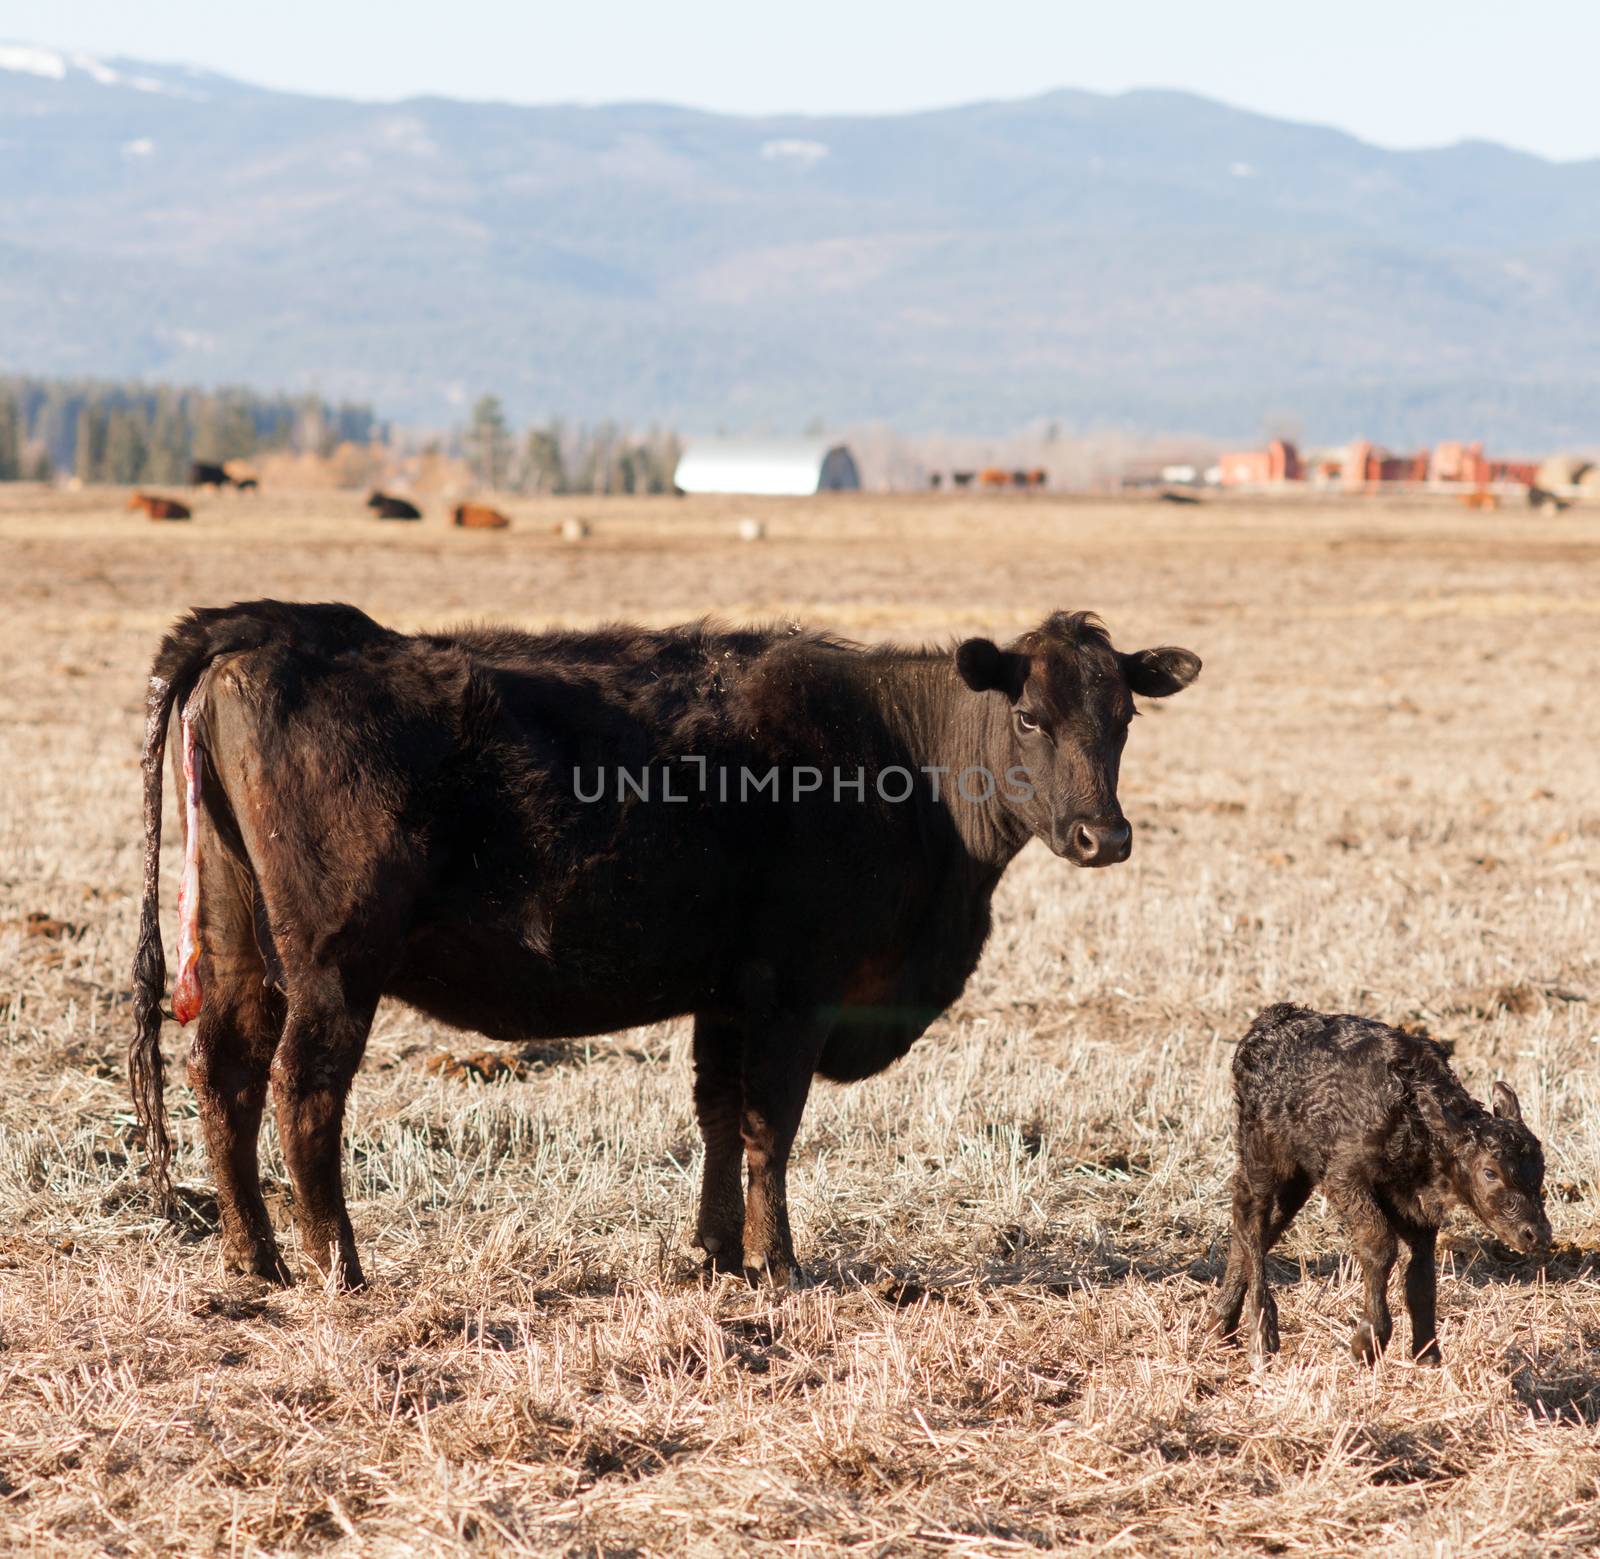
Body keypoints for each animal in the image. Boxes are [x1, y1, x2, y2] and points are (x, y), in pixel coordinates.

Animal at [134, 598, 1203, 1293]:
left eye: (1124, 717)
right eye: (1028, 715)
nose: (1104, 836)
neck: (902, 761)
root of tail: (269, 626)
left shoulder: (727, 992)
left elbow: (720, 1117)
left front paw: (717, 1253)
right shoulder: (796, 991)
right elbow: (773, 1123)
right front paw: (780, 1263)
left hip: (239, 941)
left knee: (223, 1074)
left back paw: (256, 1257)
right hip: (331, 964)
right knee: (303, 1095)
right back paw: (339, 1266)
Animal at [1209, 1011, 1548, 1370]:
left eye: (1540, 1169)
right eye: (1489, 1172)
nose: (1536, 1235)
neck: (1413, 1120)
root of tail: (1269, 1022)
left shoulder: (1417, 1211)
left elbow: (1421, 1278)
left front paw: (1427, 1354)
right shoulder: (1345, 1177)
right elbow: (1379, 1245)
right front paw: (1367, 1342)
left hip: (1297, 1178)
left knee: (1256, 1231)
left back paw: (1221, 1326)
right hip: (1263, 1157)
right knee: (1251, 1221)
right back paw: (1262, 1338)